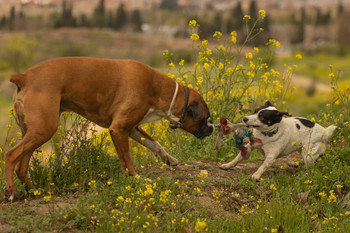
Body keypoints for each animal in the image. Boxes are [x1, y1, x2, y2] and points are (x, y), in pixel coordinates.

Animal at [4, 57, 213, 201]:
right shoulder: (119, 128)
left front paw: (168, 159)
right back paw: (10, 193)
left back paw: (34, 191)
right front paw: (135, 178)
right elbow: (128, 158)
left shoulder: (130, 128)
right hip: (44, 128)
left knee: (22, 166)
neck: (158, 88)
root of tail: (24, 77)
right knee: (11, 155)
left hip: (33, 131)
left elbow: (153, 144)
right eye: (206, 118)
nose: (212, 128)